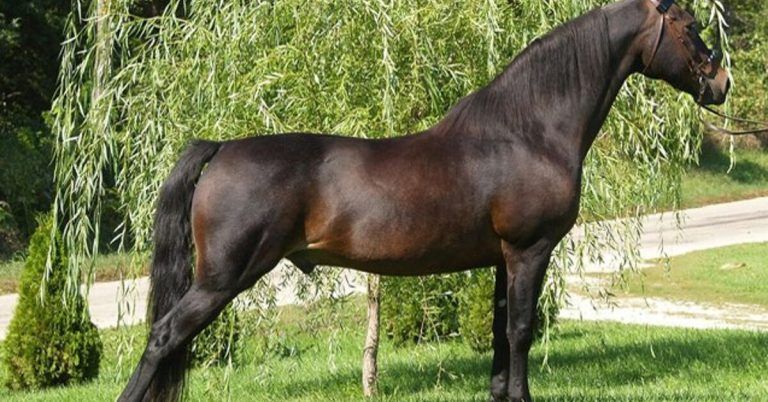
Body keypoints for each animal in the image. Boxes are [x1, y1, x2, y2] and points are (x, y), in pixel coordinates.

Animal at [118, 0, 729, 400]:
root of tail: (221, 148)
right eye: (691, 26)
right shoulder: (529, 250)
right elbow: (522, 331)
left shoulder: (503, 259)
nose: (721, 83)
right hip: (223, 278)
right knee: (163, 337)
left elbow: (501, 331)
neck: (527, 130)